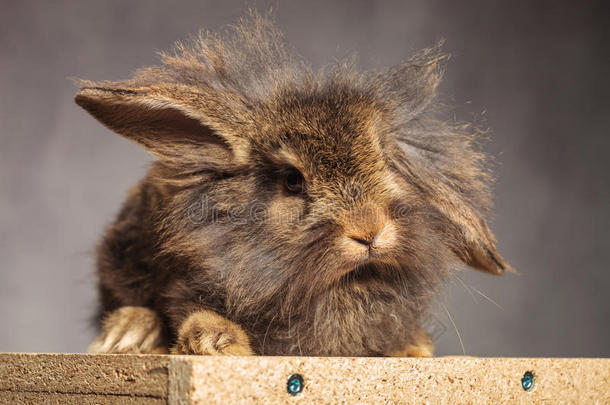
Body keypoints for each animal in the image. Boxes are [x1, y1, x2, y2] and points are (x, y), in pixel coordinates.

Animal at [77, 11, 508, 356]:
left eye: (386, 162)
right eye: (292, 181)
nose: (369, 230)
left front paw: (414, 348)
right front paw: (217, 343)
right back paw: (126, 335)